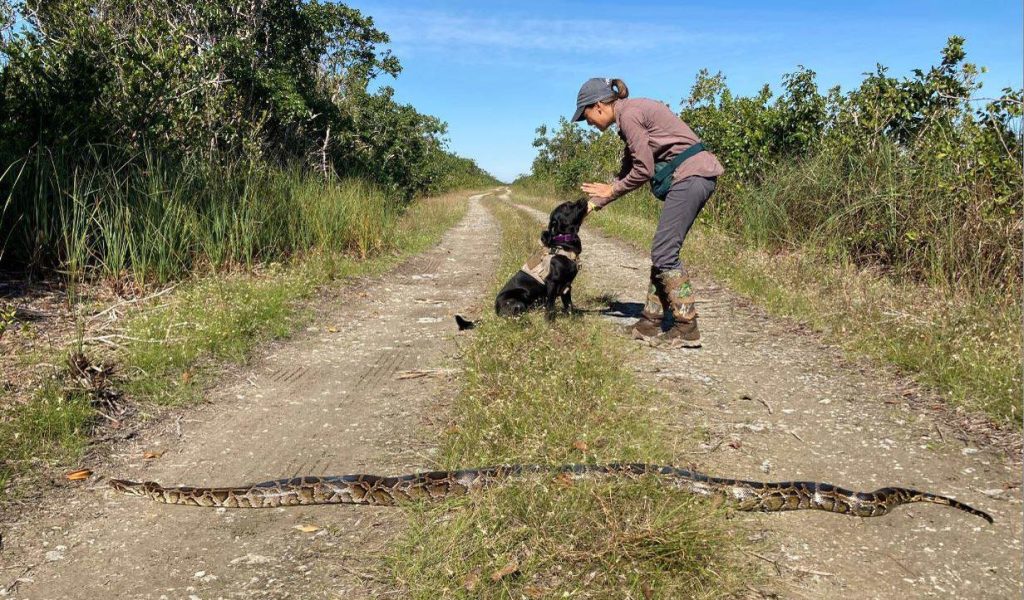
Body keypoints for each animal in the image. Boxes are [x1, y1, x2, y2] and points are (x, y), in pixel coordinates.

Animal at [454, 197, 589, 329]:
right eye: (566, 206)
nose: (584, 198)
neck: (563, 245)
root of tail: (495, 312)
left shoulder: (567, 286)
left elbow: (569, 306)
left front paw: (573, 321)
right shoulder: (552, 283)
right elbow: (551, 307)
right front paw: (550, 324)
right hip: (519, 300)